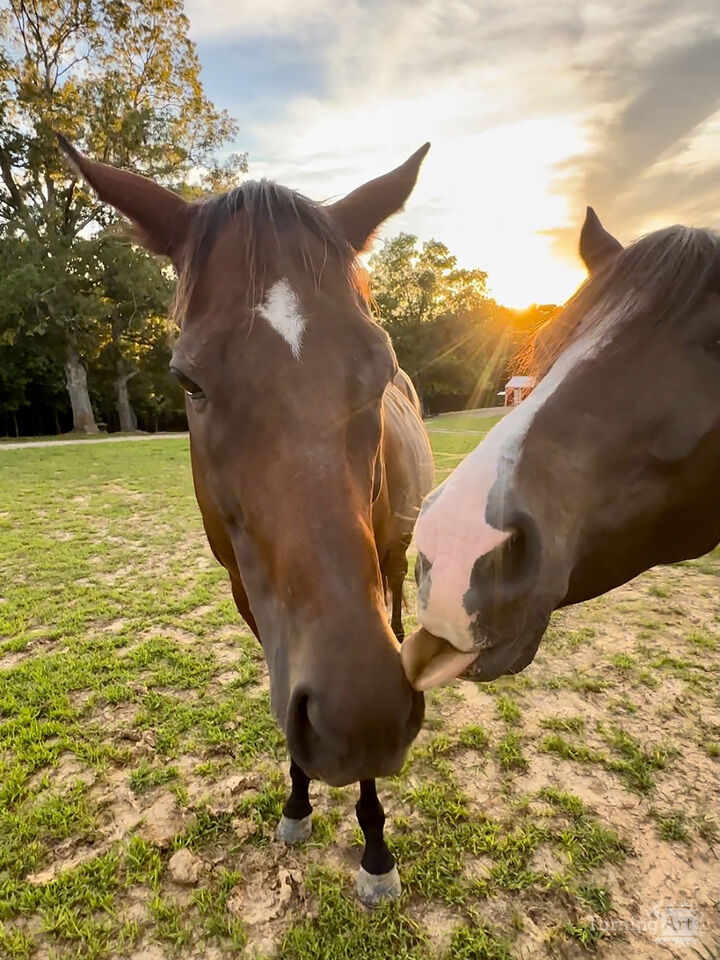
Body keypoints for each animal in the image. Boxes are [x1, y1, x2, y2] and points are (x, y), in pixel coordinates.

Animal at [58, 135, 435, 904]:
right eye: (188, 381)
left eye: (380, 365)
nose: (361, 715)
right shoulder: (252, 599)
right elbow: (281, 693)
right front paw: (296, 804)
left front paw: (375, 849)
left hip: (391, 563)